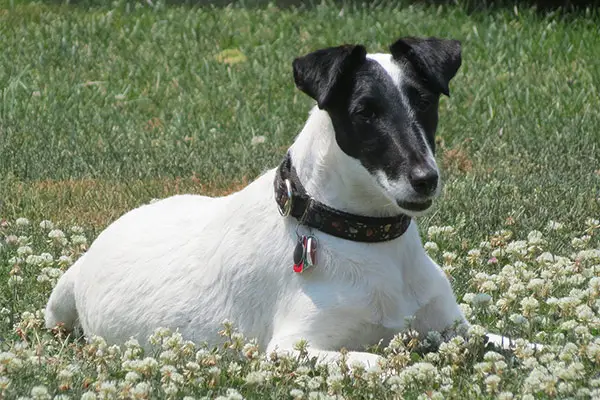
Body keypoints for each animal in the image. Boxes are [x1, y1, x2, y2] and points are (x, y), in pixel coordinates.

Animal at [45, 36, 516, 366]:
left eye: (426, 101)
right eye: (365, 112)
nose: (425, 180)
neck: (363, 234)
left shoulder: (456, 329)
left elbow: (514, 342)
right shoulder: (292, 347)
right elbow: (382, 361)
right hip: (57, 304)